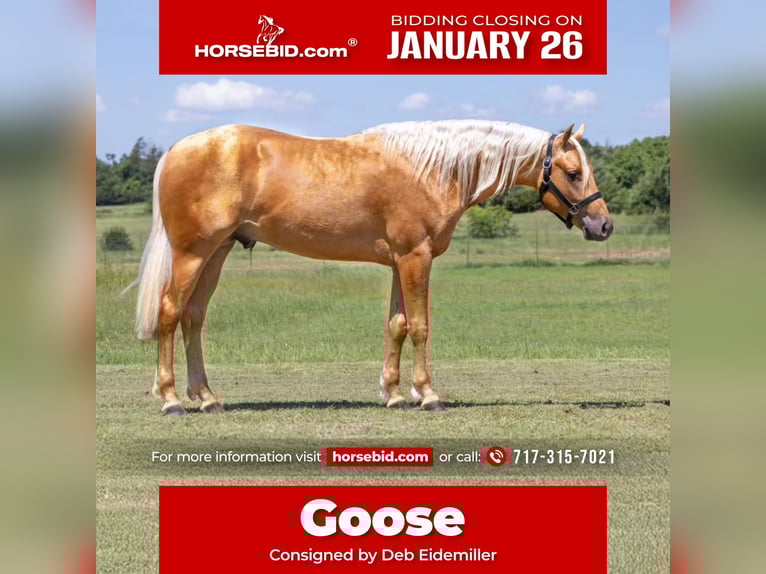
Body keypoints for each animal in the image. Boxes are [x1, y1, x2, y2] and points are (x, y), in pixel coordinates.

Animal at [133, 120, 613, 415]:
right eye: (573, 172)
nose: (603, 225)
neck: (432, 170)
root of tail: (177, 149)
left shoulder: (400, 262)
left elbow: (396, 325)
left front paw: (394, 394)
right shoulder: (415, 257)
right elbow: (419, 326)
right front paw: (428, 394)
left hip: (218, 252)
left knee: (194, 318)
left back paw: (207, 397)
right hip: (192, 254)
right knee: (170, 314)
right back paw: (172, 400)